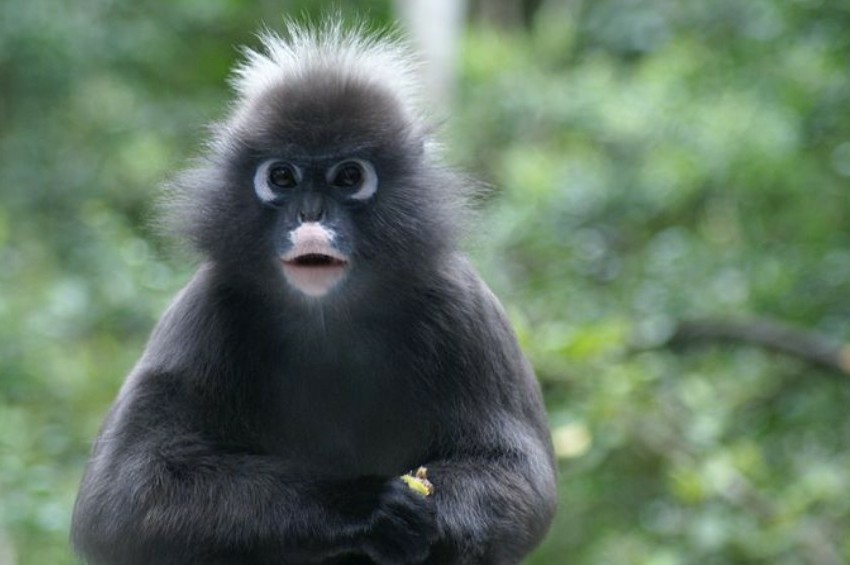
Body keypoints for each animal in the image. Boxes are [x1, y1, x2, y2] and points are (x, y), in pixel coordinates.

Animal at [70, 20, 557, 565]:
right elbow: (123, 496)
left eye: (349, 176)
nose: (310, 214)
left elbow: (520, 476)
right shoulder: (208, 308)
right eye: (282, 176)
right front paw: (366, 504)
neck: (328, 315)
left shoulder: (461, 305)